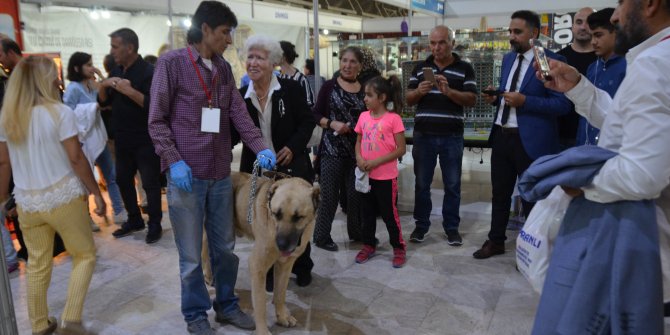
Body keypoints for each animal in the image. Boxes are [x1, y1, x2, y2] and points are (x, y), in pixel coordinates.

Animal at [231, 173, 320, 335]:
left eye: (298, 217)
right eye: (276, 214)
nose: (282, 245)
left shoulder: (285, 265)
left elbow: (280, 293)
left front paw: (282, 316)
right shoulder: (257, 266)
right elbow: (260, 305)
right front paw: (262, 330)